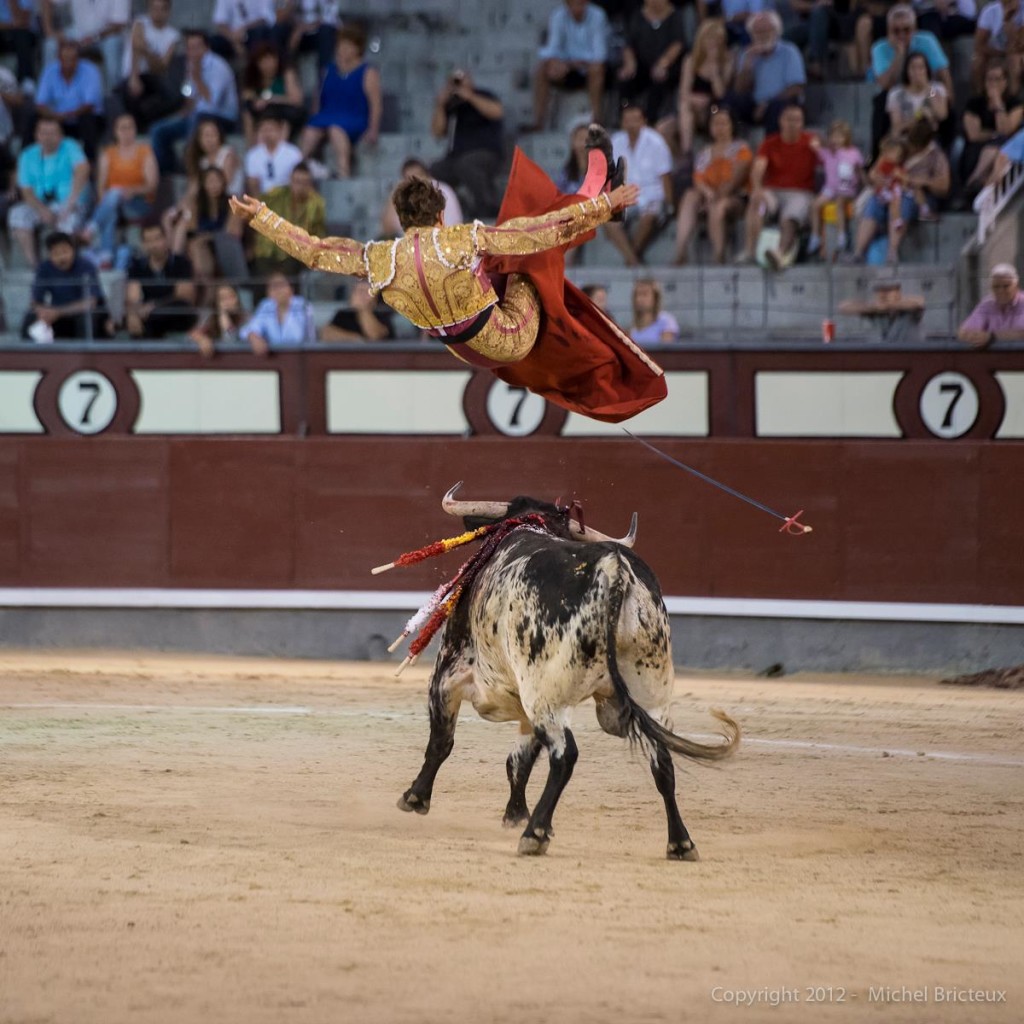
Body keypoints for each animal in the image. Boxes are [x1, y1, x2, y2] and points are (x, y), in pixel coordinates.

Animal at [395, 485, 741, 856]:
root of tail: (614, 570)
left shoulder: (451, 674)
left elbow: (442, 742)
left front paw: (415, 797)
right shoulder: (524, 702)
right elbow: (519, 760)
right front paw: (515, 813)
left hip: (546, 696)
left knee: (565, 755)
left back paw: (535, 833)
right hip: (649, 694)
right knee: (661, 761)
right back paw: (680, 842)